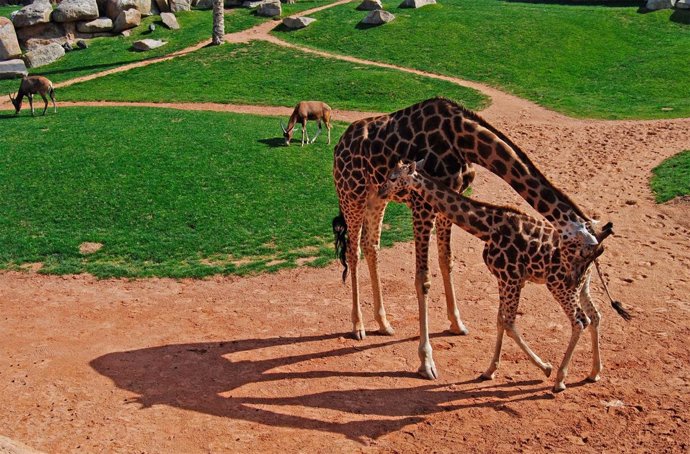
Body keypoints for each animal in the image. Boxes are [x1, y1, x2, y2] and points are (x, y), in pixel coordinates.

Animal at [330, 96, 600, 380]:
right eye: (582, 252)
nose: (574, 282)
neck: (463, 140)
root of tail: (339, 146)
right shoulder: (421, 204)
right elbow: (423, 279)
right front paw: (426, 361)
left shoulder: (450, 196)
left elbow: (446, 261)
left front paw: (457, 323)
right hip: (352, 191)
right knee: (353, 252)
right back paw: (358, 326)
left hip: (376, 195)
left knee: (371, 245)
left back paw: (383, 323)